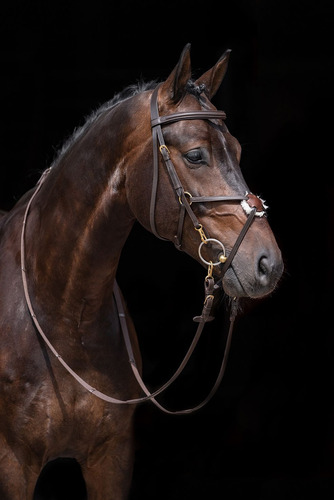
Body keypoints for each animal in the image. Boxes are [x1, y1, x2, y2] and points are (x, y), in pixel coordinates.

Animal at [0, 44, 284, 500]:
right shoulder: (14, 465)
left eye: (238, 151)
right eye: (196, 155)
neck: (64, 313)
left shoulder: (112, 459)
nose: (268, 264)